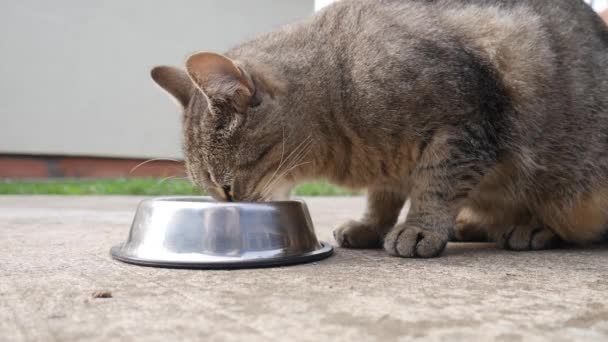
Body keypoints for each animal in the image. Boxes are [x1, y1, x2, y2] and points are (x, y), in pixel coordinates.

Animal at [151, 0, 608, 256]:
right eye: (212, 191)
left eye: (226, 187)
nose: (226, 206)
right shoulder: (390, 162)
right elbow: (383, 197)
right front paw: (371, 226)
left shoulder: (465, 123)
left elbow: (436, 185)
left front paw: (421, 226)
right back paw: (472, 225)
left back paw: (533, 227)